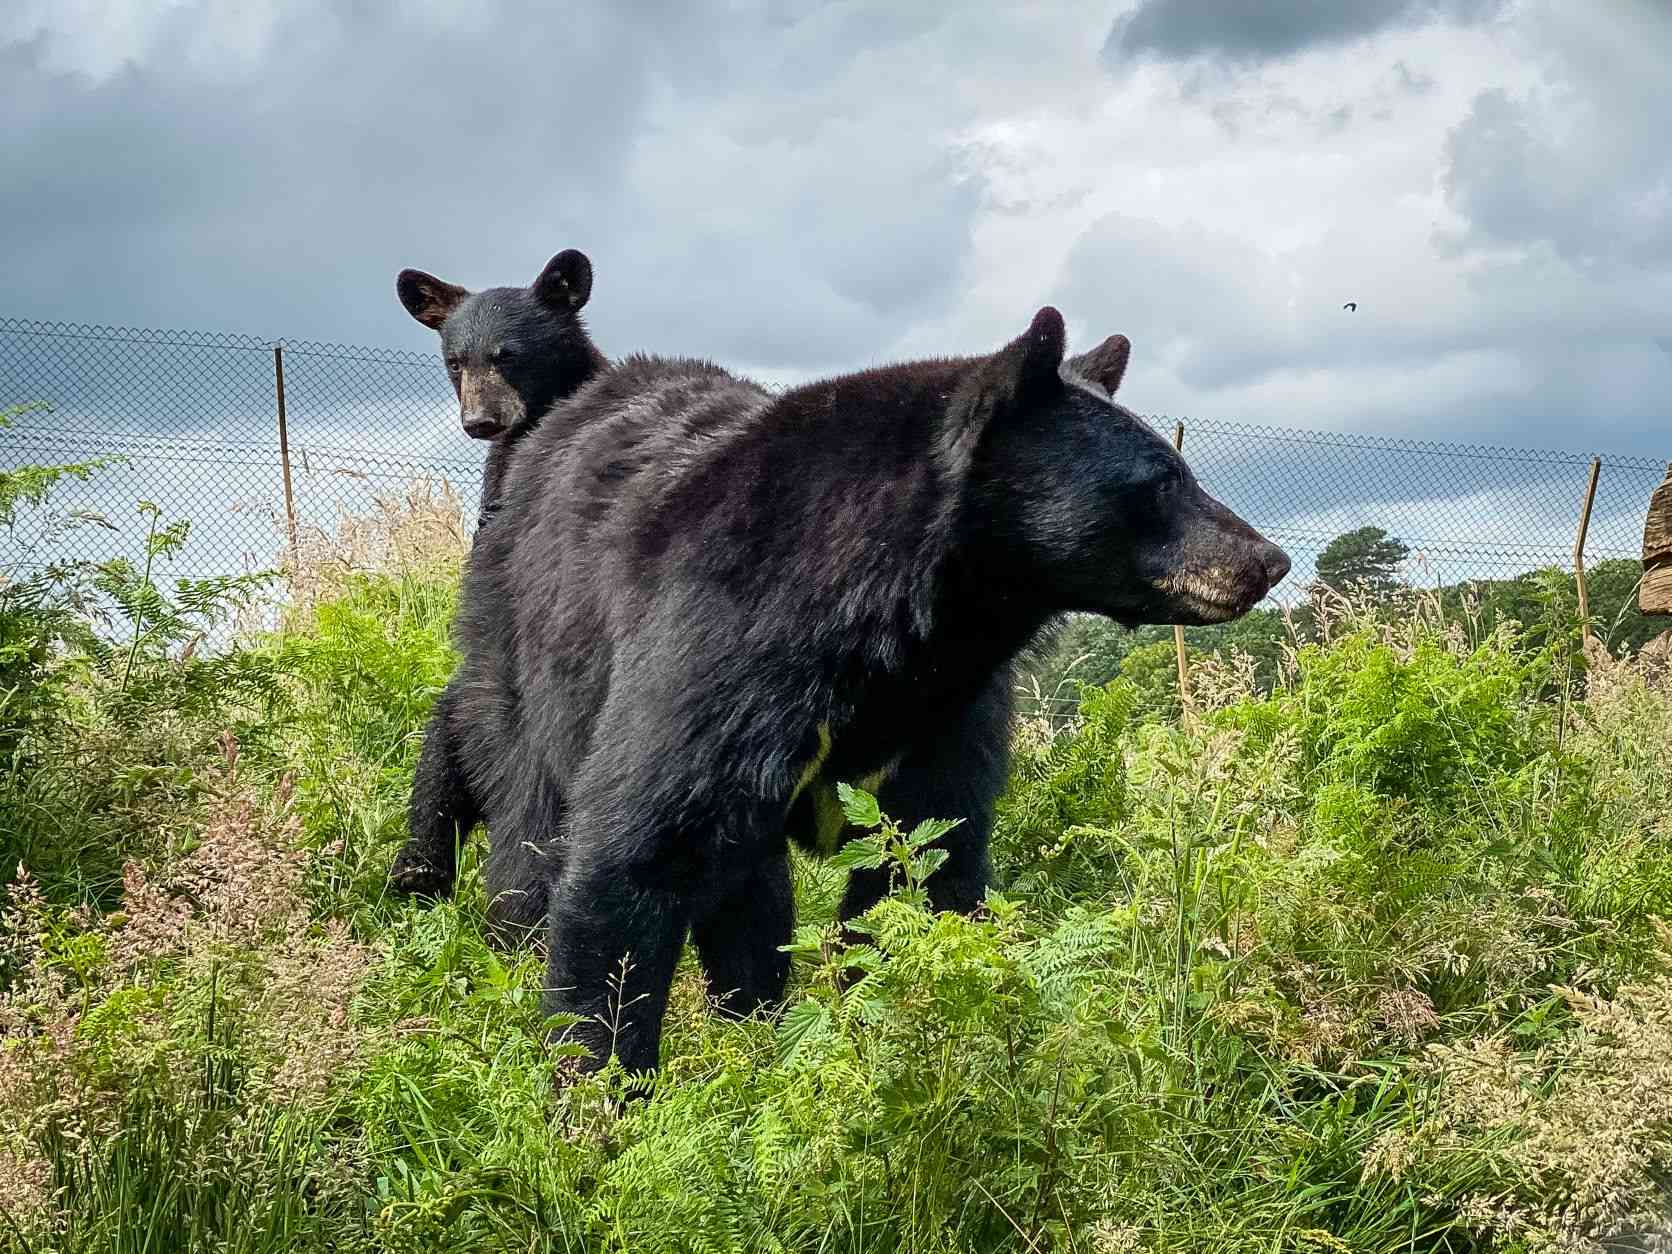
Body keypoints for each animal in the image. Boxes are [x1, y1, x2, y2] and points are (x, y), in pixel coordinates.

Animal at [449, 306, 1290, 1076]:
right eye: (1163, 479)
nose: (1268, 560)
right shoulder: (711, 643)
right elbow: (637, 849)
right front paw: (600, 1090)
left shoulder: (950, 708)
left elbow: (924, 861)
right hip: (520, 646)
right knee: (532, 823)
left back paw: (755, 1028)